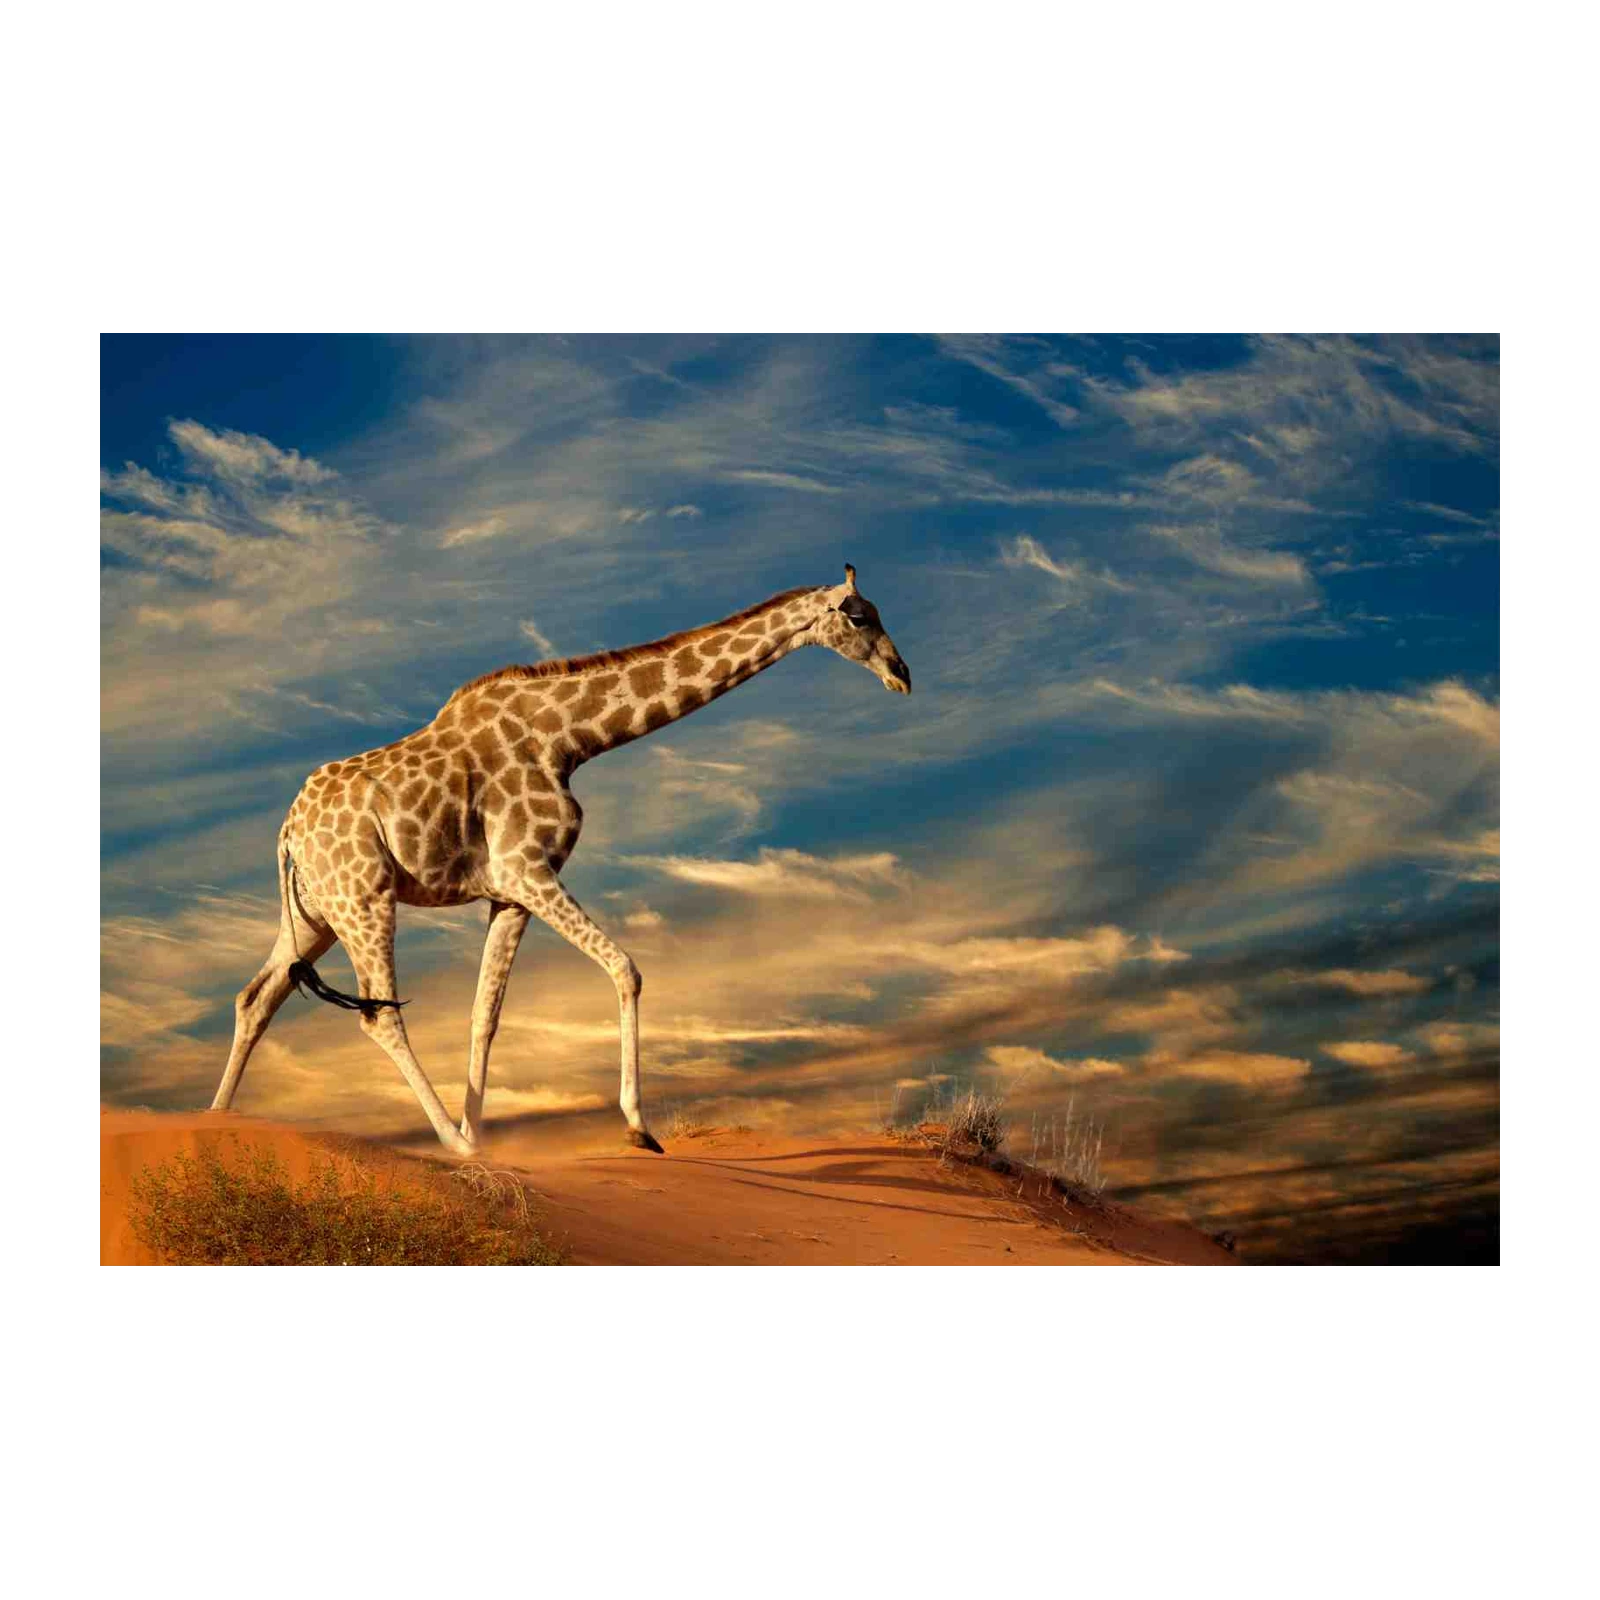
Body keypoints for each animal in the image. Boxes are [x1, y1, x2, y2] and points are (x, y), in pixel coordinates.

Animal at [210, 564, 912, 1156]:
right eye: (859, 617)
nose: (902, 674)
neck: (571, 738)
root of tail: (287, 831)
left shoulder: (507, 894)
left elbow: (485, 1015)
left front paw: (483, 1134)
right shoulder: (528, 868)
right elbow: (626, 968)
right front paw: (637, 1129)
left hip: (315, 912)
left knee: (255, 998)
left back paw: (217, 1121)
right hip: (364, 897)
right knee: (379, 1014)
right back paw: (450, 1146)